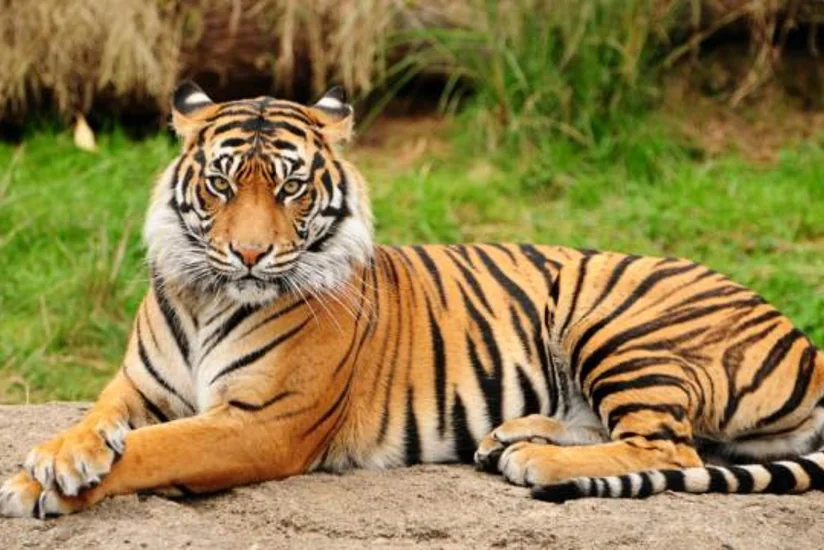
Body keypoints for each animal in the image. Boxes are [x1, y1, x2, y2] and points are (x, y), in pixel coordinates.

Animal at [2, 81, 824, 519]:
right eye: (221, 184)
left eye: (291, 188)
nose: (250, 254)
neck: (209, 297)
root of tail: (807, 345)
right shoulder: (137, 387)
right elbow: (98, 422)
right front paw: (54, 458)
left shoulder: (261, 423)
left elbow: (154, 448)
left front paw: (38, 486)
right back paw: (512, 437)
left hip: (618, 324)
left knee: (669, 445)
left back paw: (536, 463)